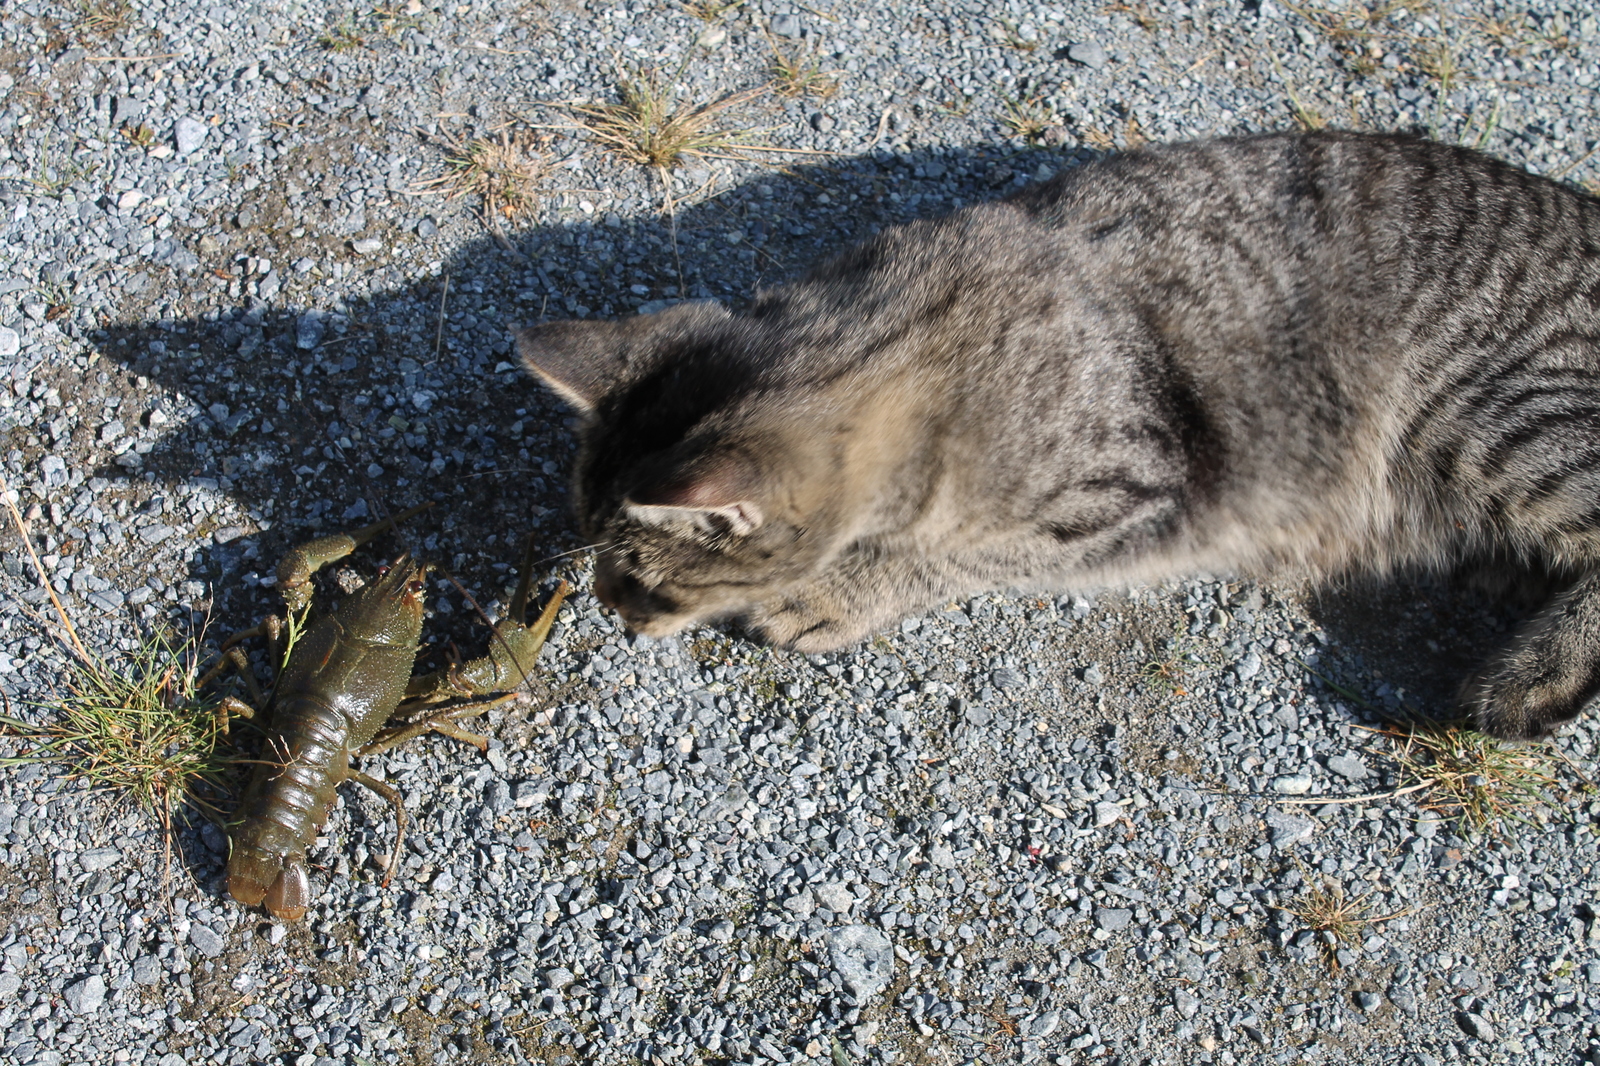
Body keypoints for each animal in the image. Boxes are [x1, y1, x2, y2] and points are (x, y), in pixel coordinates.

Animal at [515, 130, 1600, 739]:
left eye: (647, 583)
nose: (612, 613)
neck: (913, 335)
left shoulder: (1134, 490)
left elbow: (959, 555)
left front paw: (841, 590)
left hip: (1501, 415)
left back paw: (1533, 673)